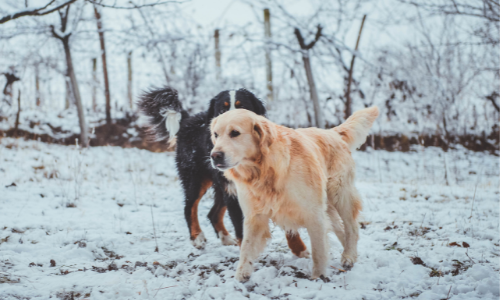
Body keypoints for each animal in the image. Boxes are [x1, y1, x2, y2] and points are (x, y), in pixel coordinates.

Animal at [138, 87, 266, 248]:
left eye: (242, 107)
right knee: (189, 207)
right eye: (222, 110)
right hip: (195, 179)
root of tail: (187, 120)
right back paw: (197, 237)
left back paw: (226, 238)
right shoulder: (233, 193)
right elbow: (242, 232)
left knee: (213, 213)